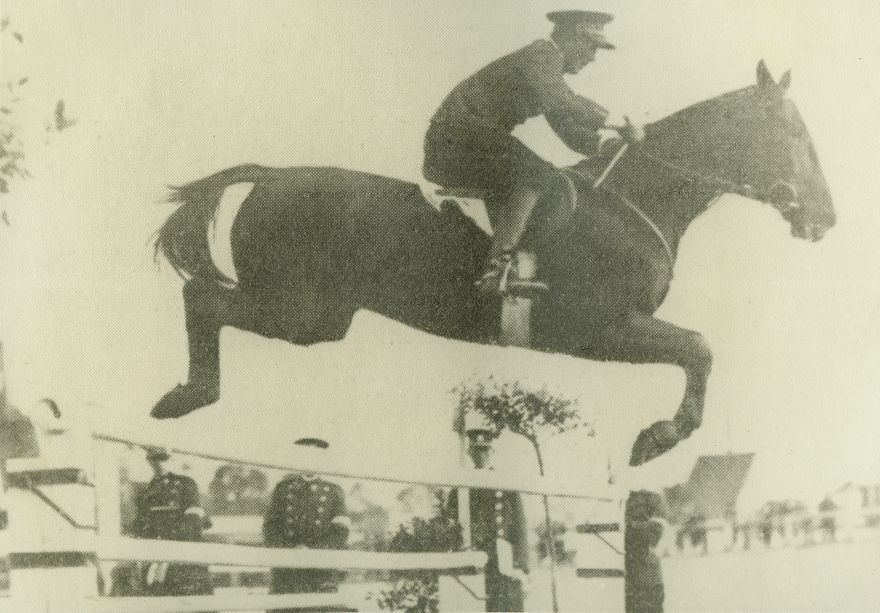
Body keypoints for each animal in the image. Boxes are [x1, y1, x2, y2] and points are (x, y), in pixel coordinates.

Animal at [151, 61, 835, 466]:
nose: (824, 219)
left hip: (319, 318)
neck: (634, 199)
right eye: (794, 135)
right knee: (201, 299)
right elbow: (699, 348)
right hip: (297, 309)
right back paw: (187, 396)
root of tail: (270, 176)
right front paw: (657, 439)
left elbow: (698, 349)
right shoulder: (599, 330)